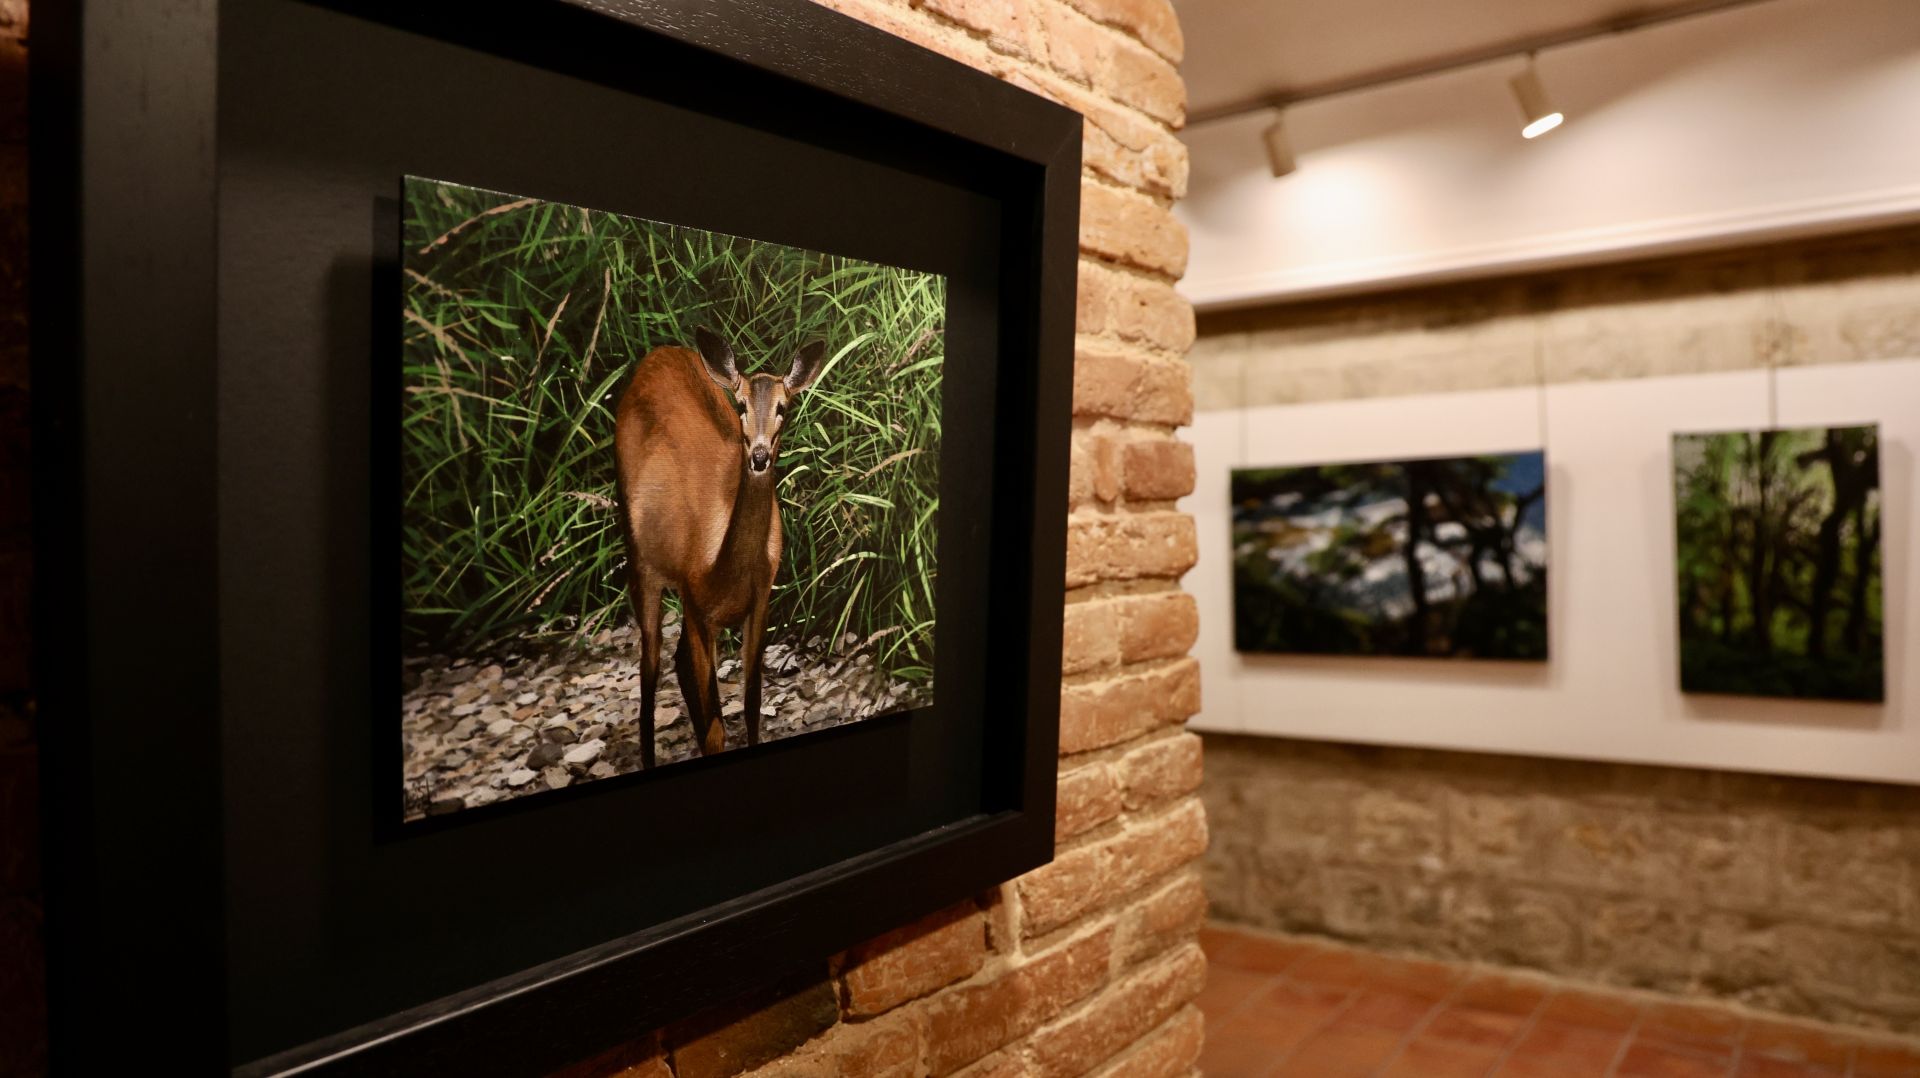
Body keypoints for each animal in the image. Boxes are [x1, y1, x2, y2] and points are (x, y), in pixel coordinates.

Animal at [614, 326, 825, 764]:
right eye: (741, 404)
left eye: (782, 406)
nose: (759, 455)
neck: (721, 565)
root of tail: (656, 356)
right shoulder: (695, 603)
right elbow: (714, 727)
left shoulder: (761, 598)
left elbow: (750, 704)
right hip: (640, 560)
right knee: (649, 669)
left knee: (673, 662)